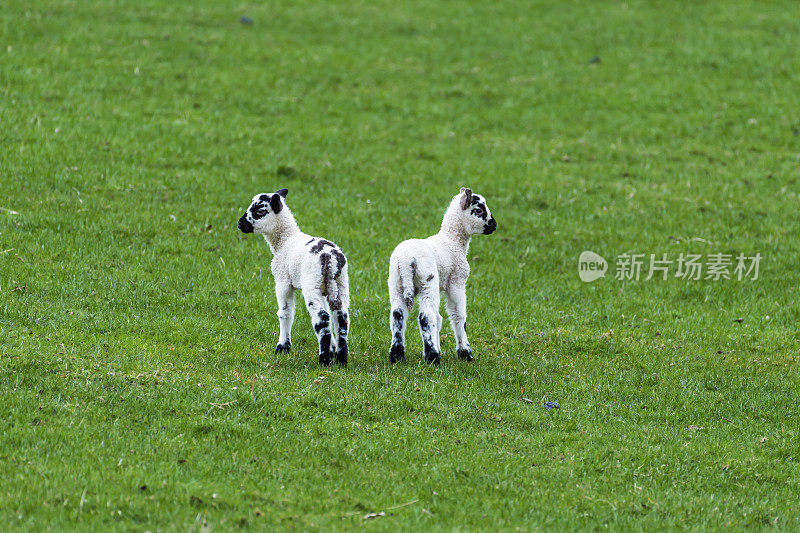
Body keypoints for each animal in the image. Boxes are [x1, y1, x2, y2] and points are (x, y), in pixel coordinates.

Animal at [238, 187, 350, 366]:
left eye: (260, 210)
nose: (240, 224)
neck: (284, 240)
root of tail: (330, 258)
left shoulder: (282, 281)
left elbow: (285, 313)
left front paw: (282, 347)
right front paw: (333, 350)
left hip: (312, 282)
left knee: (322, 318)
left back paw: (324, 359)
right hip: (340, 284)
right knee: (341, 317)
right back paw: (341, 358)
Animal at [386, 187, 494, 366]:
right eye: (479, 210)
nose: (494, 225)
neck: (452, 241)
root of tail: (406, 260)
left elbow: (438, 319)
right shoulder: (457, 282)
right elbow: (458, 316)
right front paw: (465, 353)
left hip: (396, 283)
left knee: (398, 314)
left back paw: (396, 356)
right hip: (427, 281)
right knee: (425, 316)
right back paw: (433, 357)